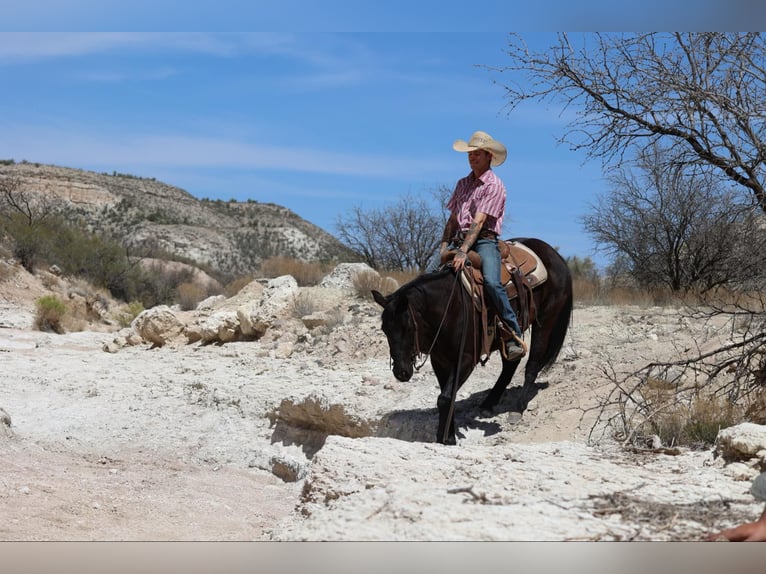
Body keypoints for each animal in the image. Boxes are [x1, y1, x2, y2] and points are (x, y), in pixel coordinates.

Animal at [372, 237, 573, 445]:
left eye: (409, 328)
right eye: (385, 330)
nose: (401, 372)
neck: (450, 306)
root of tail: (555, 256)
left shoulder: (466, 359)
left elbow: (445, 397)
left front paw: (447, 438)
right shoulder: (440, 361)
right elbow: (447, 396)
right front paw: (446, 435)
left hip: (546, 320)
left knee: (532, 363)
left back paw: (517, 409)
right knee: (510, 364)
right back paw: (488, 404)